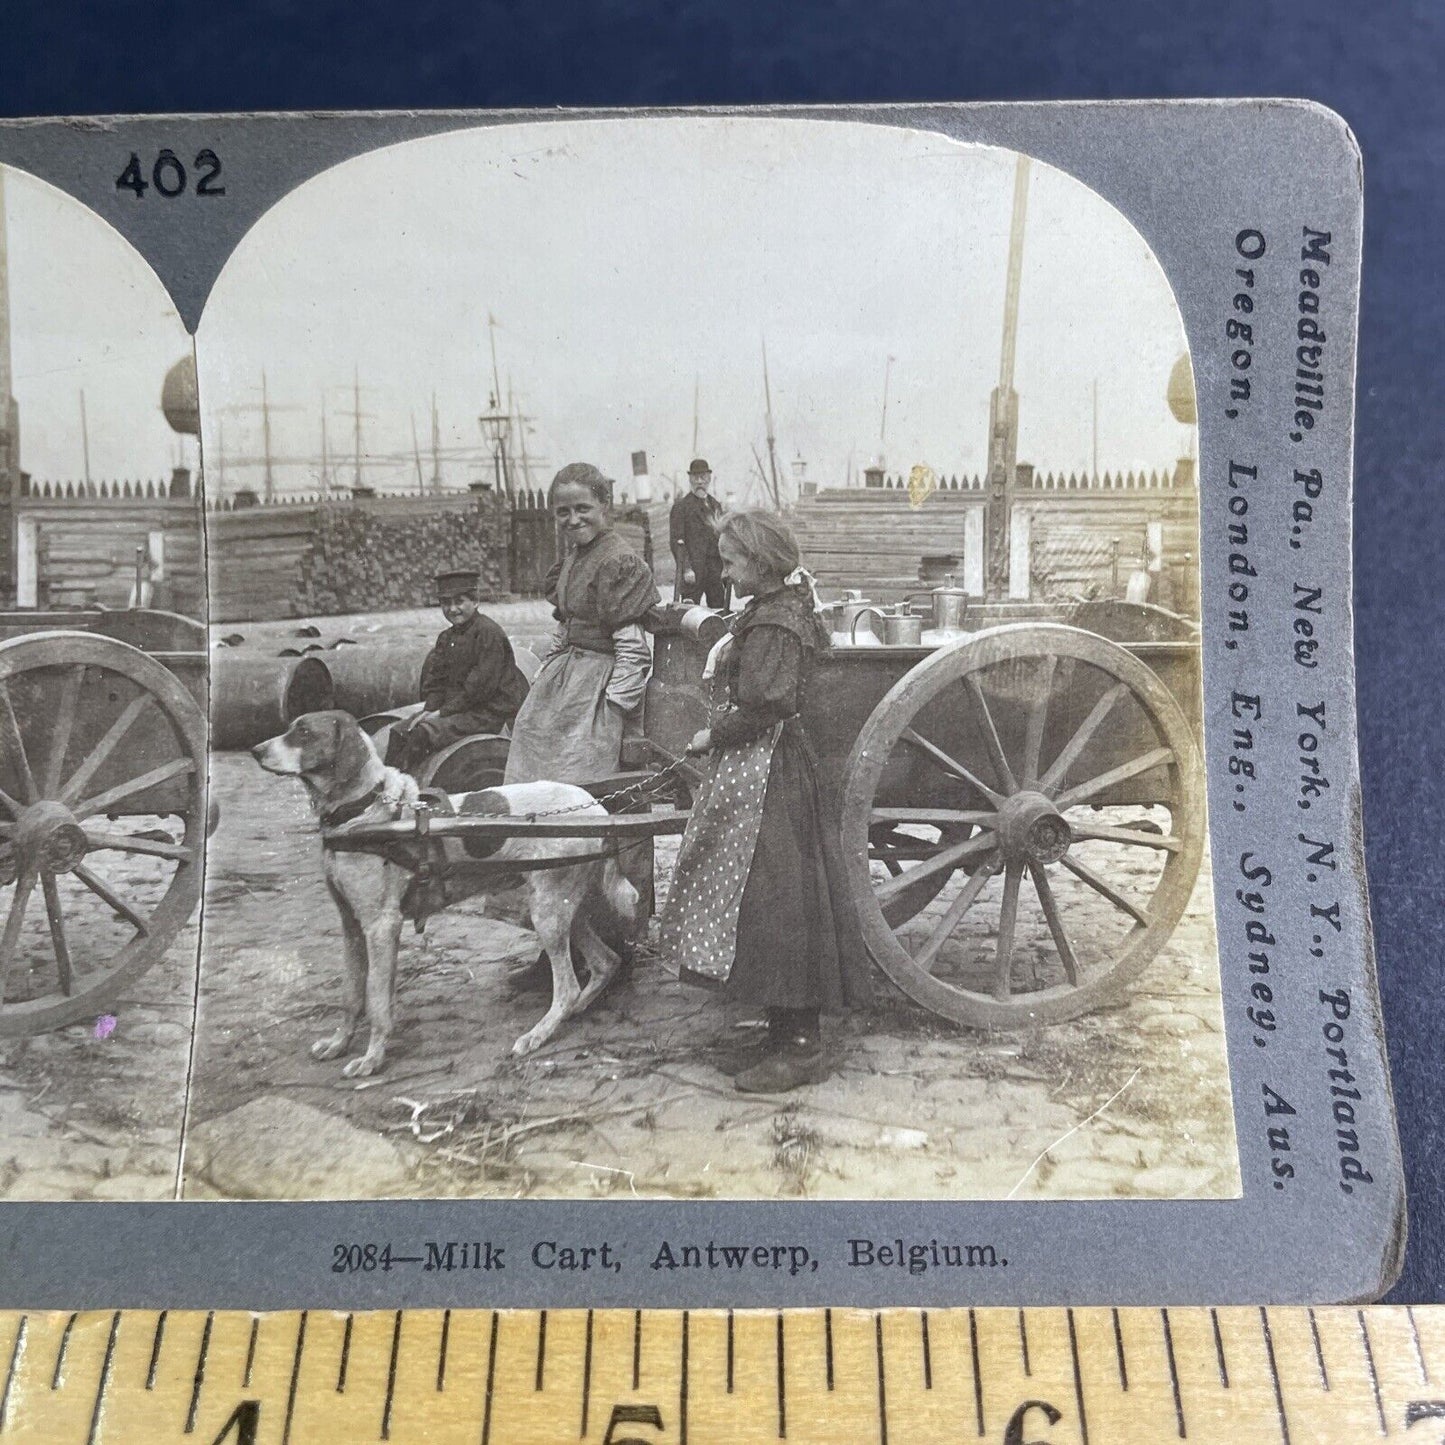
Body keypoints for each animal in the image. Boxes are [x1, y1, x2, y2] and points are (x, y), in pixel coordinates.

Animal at [251, 710, 635, 1075]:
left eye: (303, 733)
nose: (255, 750)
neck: (363, 810)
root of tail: (596, 806)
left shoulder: (381, 926)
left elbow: (376, 1001)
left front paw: (372, 1059)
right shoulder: (351, 926)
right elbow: (351, 995)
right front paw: (338, 1043)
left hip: (549, 910)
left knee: (567, 987)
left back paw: (537, 1035)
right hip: (561, 906)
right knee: (604, 962)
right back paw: (576, 1010)